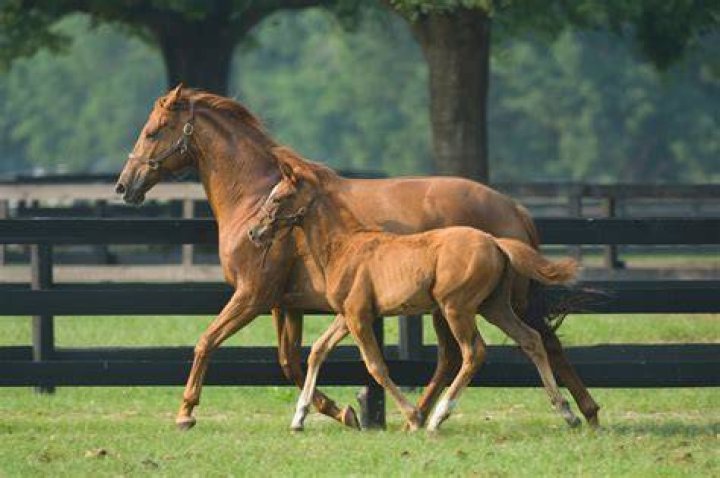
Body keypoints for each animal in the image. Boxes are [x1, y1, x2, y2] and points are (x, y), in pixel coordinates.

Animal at [248, 146, 582, 431]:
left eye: (277, 198)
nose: (254, 232)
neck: (345, 246)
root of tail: (495, 241)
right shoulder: (347, 315)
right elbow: (318, 350)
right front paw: (298, 418)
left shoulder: (358, 316)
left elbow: (376, 366)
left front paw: (412, 415)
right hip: (494, 306)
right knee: (531, 339)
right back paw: (568, 413)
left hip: (456, 308)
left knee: (473, 352)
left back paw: (436, 417)